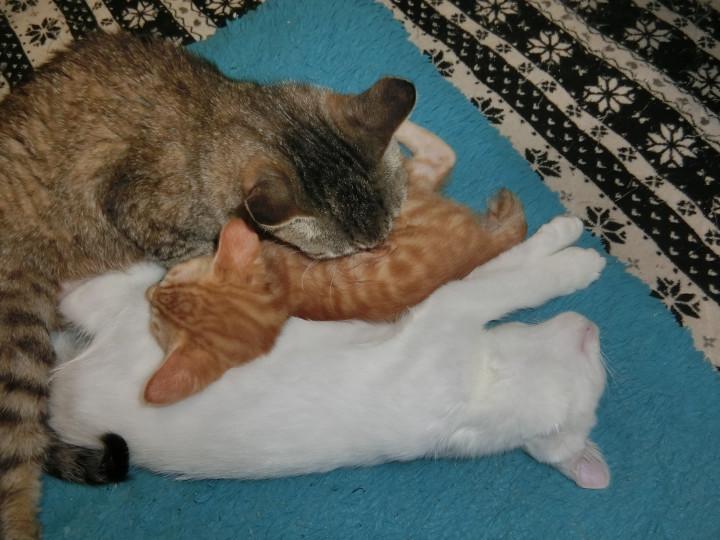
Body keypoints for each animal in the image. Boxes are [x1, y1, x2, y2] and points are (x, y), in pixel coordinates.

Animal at [0, 31, 414, 538]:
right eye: (343, 252)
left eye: (385, 232)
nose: (375, 253)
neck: (213, 123)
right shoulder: (142, 212)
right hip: (18, 345)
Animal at [49, 216, 610, 491]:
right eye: (595, 353)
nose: (595, 328)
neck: (487, 380)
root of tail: (60, 397)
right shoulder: (439, 308)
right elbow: (506, 271)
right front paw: (570, 245)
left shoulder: (445, 314)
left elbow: (510, 282)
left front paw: (574, 264)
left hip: (124, 310)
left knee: (77, 295)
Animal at [142, 123, 526, 405]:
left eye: (168, 281)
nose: (149, 293)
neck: (280, 293)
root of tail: (481, 247)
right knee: (441, 157)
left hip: (392, 209)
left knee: (436, 156)